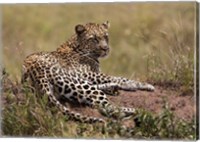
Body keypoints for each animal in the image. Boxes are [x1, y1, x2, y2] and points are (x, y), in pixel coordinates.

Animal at [21, 21, 155, 123]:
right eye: (94, 39)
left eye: (106, 37)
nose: (106, 48)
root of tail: (35, 72)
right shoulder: (82, 73)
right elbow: (118, 77)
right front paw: (142, 84)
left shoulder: (86, 75)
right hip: (74, 81)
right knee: (108, 108)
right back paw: (136, 111)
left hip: (73, 86)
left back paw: (113, 89)